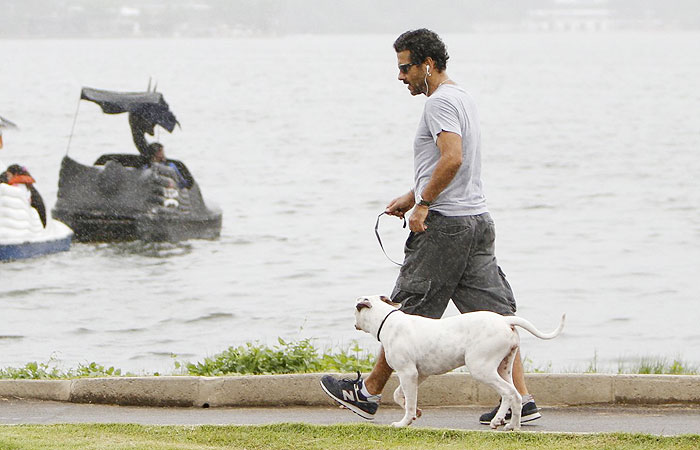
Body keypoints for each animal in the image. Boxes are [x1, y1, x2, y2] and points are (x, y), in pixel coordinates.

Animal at [352, 296, 568, 428]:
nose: (354, 323)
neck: (387, 320)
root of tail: (505, 321)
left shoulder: (408, 373)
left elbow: (409, 401)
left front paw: (404, 422)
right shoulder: (419, 374)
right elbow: (400, 395)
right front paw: (416, 413)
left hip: (481, 368)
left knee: (511, 394)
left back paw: (511, 426)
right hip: (503, 367)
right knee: (509, 393)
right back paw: (501, 421)